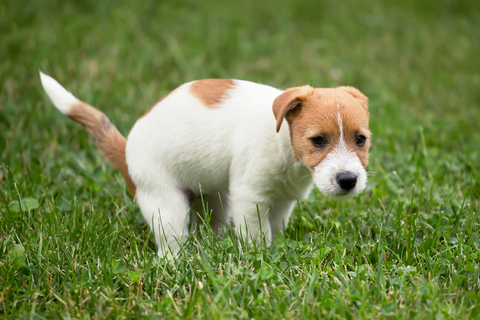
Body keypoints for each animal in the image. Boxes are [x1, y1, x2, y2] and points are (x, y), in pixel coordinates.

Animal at [41, 73, 372, 258]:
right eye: (317, 140)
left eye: (360, 139)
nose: (348, 180)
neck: (285, 144)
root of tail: (125, 152)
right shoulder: (249, 198)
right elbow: (257, 235)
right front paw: (259, 256)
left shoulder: (282, 201)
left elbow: (274, 229)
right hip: (166, 206)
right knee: (169, 246)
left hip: (213, 198)